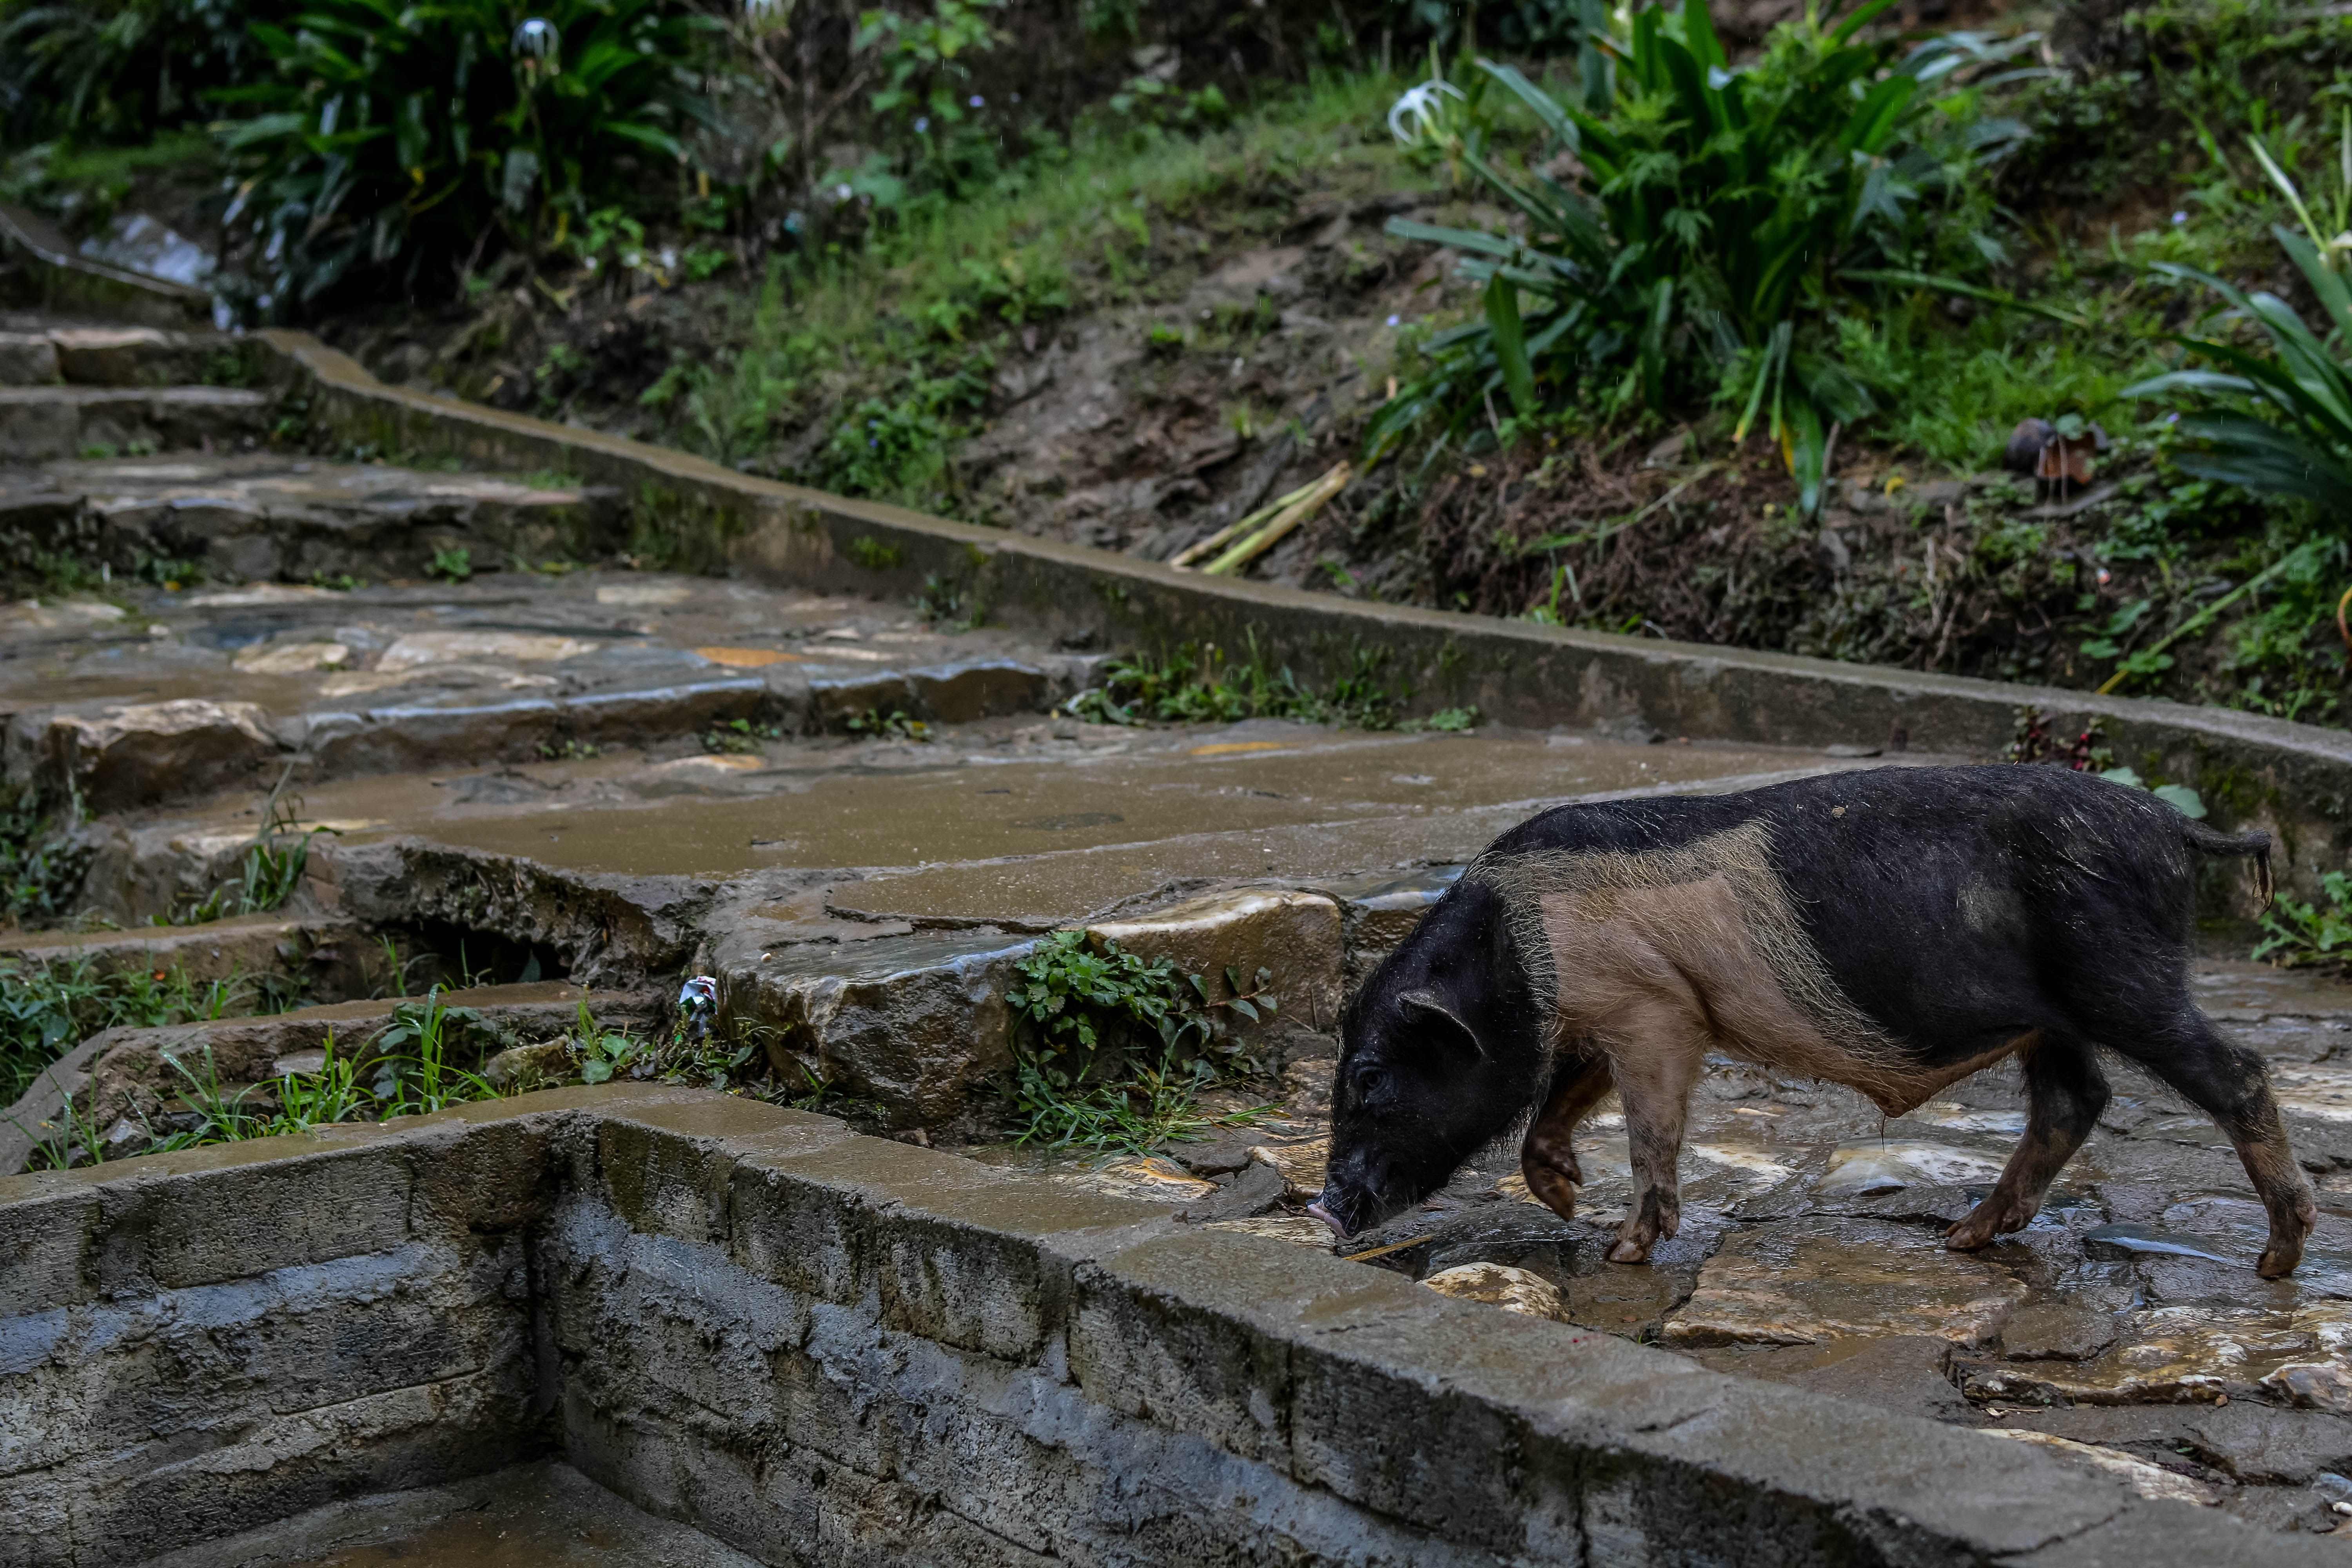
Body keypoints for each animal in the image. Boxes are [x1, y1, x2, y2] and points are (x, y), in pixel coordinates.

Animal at [1308, 764, 2318, 1278]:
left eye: (1368, 1076)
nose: (1324, 1206)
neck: (1516, 953)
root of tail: (2175, 828)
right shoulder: (1617, 1013)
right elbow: (1561, 1099)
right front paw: (1560, 1193)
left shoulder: (1656, 1009)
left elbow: (1650, 1126)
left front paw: (1620, 1247)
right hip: (2056, 1016)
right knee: (2075, 1101)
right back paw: (1965, 1236)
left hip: (2124, 979)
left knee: (2238, 1070)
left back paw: (2277, 1259)